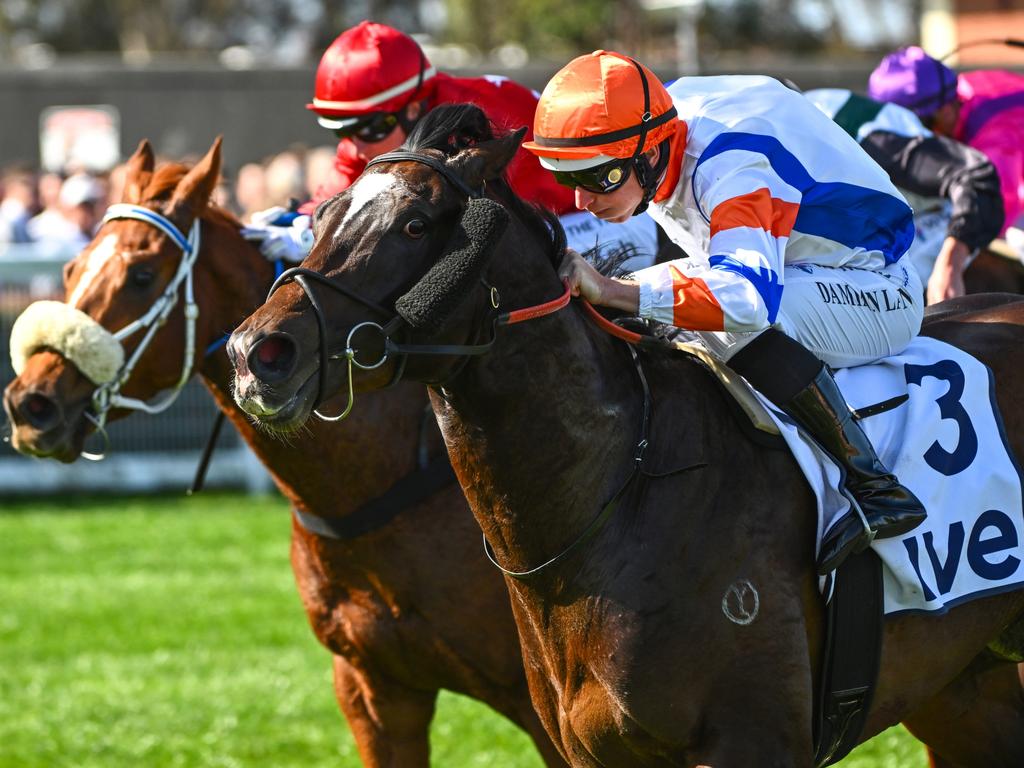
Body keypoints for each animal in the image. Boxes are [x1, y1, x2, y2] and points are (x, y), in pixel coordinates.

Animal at [0, 140, 565, 768]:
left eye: (143, 275)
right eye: (72, 269)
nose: (31, 403)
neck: (377, 485)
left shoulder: (544, 700)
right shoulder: (374, 689)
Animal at [228, 103, 1024, 768]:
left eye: (416, 225)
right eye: (323, 215)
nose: (257, 353)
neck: (618, 496)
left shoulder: (752, 739)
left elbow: (742, 289)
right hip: (966, 692)